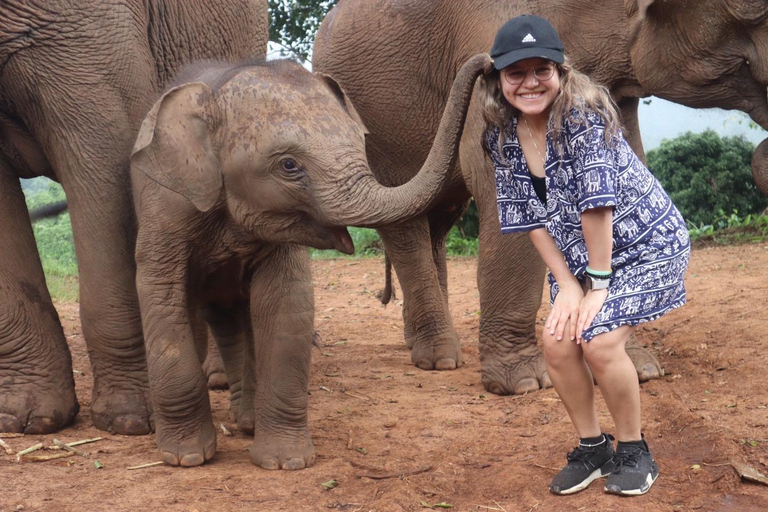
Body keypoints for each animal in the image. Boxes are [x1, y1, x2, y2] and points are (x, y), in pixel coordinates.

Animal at [130, 56, 492, 468]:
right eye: (289, 165)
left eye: (360, 143)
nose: (487, 63)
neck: (219, 89)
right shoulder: (164, 206)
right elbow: (160, 296)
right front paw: (187, 458)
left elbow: (286, 303)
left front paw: (285, 463)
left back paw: (247, 422)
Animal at [312, 0, 768, 392]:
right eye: (757, 14)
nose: (483, 64)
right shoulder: (492, 28)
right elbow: (499, 183)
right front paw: (525, 383)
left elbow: (625, 163)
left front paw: (638, 369)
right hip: (372, 120)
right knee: (405, 224)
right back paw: (439, 358)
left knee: (437, 219)